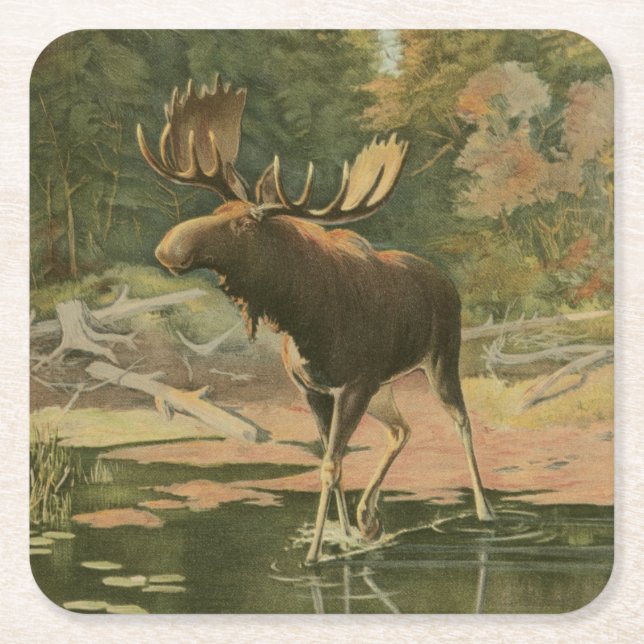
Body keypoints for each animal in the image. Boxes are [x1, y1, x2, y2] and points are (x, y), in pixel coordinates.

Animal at [137, 75, 495, 564]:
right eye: (214, 213)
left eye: (244, 225)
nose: (167, 248)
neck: (304, 318)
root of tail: (447, 282)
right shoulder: (314, 389)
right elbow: (332, 462)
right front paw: (343, 536)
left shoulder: (353, 385)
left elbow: (330, 465)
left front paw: (314, 555)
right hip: (384, 386)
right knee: (401, 429)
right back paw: (369, 518)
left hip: (440, 360)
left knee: (461, 422)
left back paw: (483, 512)